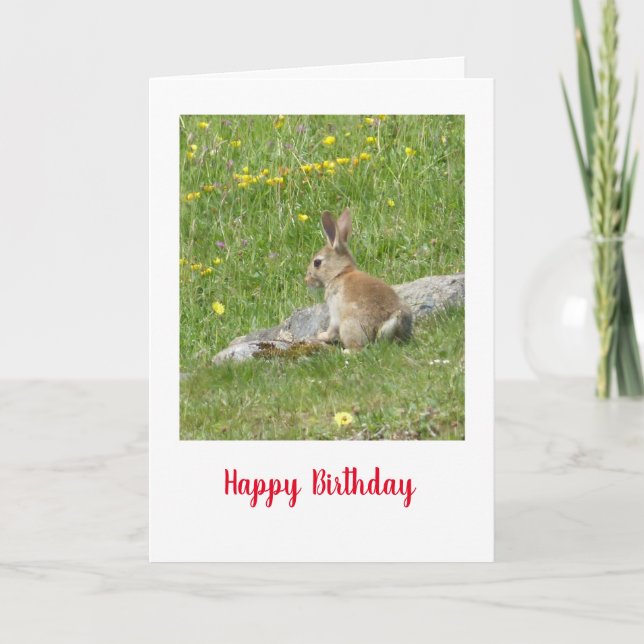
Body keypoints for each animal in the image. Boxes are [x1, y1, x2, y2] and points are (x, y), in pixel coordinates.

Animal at [305, 207, 413, 350]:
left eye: (317, 263)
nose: (306, 279)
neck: (340, 273)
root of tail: (390, 323)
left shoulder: (335, 310)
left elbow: (332, 328)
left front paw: (322, 335)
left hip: (349, 325)